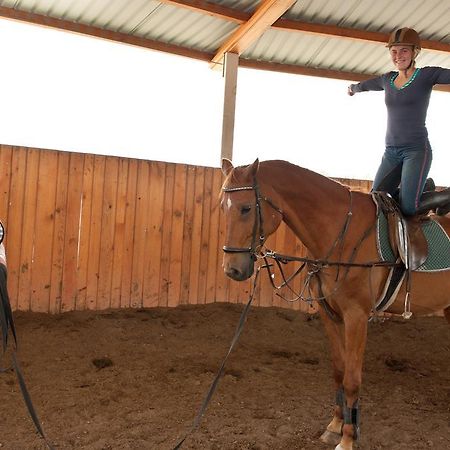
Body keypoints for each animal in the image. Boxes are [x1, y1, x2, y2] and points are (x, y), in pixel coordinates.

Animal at [220, 158, 448, 450]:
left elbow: (352, 379)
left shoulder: (356, 316)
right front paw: (336, 426)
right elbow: (339, 371)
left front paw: (348, 438)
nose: (232, 270)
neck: (341, 233)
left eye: (246, 208)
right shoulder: (329, 313)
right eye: (222, 207)